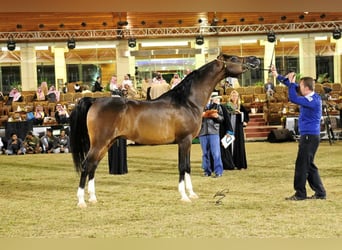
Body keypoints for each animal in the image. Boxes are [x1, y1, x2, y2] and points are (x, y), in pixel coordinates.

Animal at [69, 53, 260, 208]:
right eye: (234, 58)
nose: (255, 59)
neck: (187, 101)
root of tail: (94, 101)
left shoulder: (188, 142)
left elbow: (187, 167)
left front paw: (192, 194)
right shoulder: (184, 140)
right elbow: (182, 166)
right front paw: (184, 197)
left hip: (107, 143)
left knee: (92, 166)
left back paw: (93, 198)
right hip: (99, 142)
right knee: (86, 165)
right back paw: (81, 201)